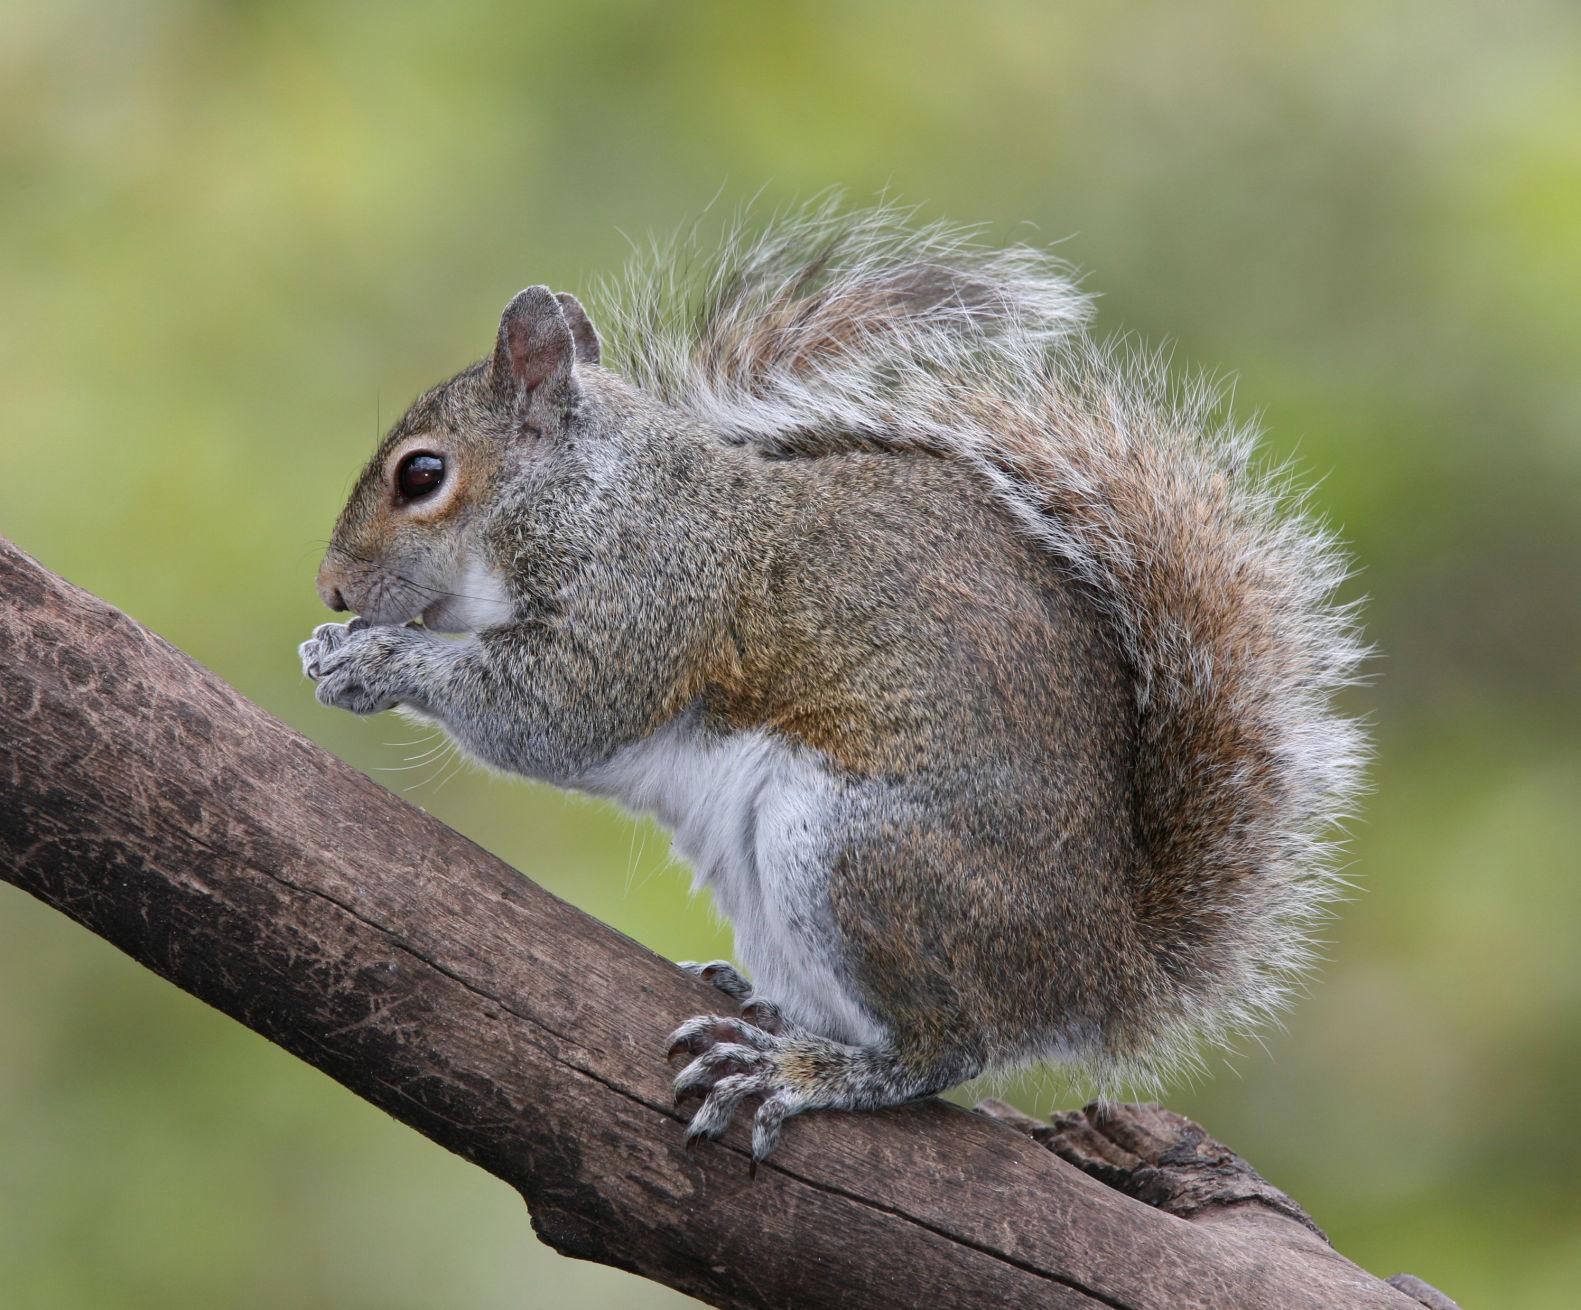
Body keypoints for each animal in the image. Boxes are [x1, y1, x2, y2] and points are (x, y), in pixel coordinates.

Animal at [299, 204, 1366, 1165]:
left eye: (421, 475)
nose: (332, 587)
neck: (588, 492)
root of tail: (1104, 971)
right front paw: (332, 646)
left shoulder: (646, 598)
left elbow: (550, 712)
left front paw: (375, 661)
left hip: (854, 853)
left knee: (946, 1048)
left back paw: (802, 1070)